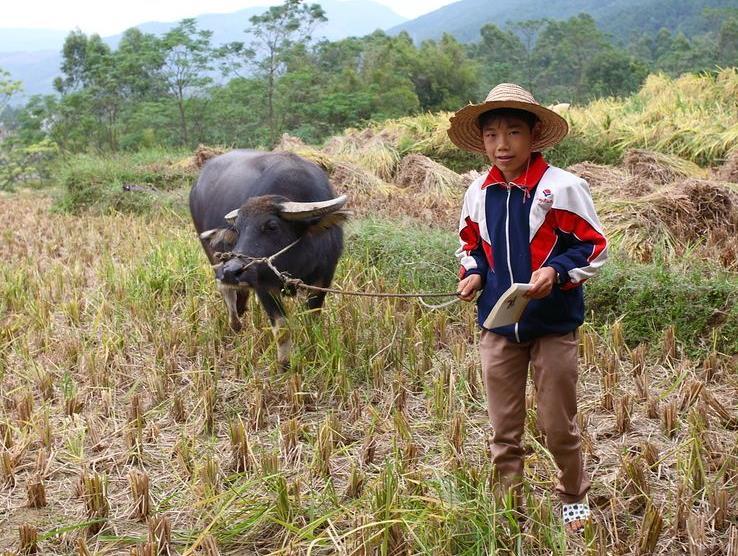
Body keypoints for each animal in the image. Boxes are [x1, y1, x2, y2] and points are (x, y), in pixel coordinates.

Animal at [190, 150, 350, 368]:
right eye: (237, 229)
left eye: (272, 226)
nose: (231, 271)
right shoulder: (263, 285)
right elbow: (282, 329)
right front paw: (284, 365)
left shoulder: (323, 278)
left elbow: (312, 321)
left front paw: (313, 352)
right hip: (212, 254)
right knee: (226, 290)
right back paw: (235, 324)